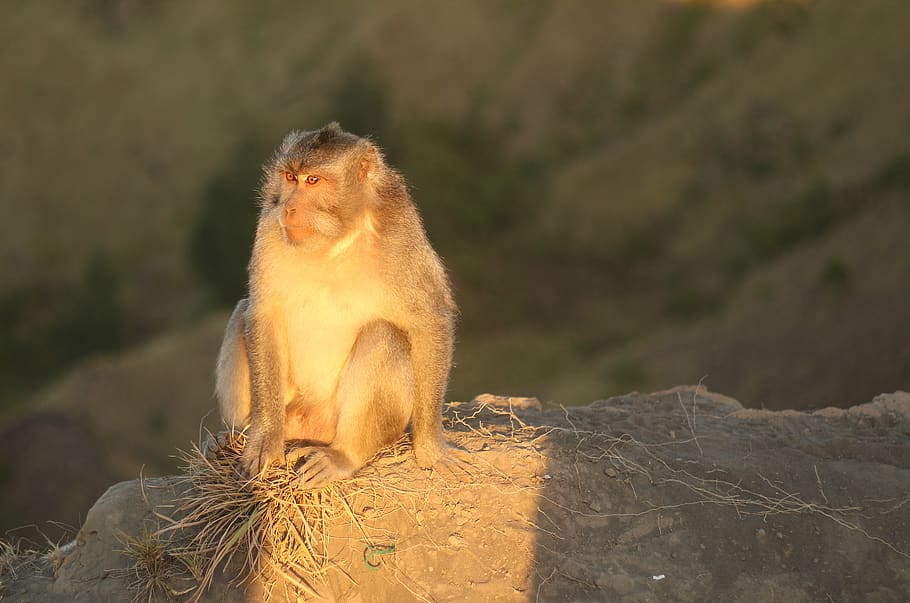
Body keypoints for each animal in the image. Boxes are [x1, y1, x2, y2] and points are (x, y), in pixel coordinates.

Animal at [214, 122, 457, 489]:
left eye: (313, 180)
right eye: (290, 177)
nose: (289, 208)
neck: (334, 238)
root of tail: (310, 424)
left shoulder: (400, 235)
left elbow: (428, 321)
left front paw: (430, 446)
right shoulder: (269, 228)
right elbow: (264, 314)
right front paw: (265, 438)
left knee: (383, 335)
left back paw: (344, 455)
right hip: (290, 409)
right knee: (243, 311)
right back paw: (236, 434)